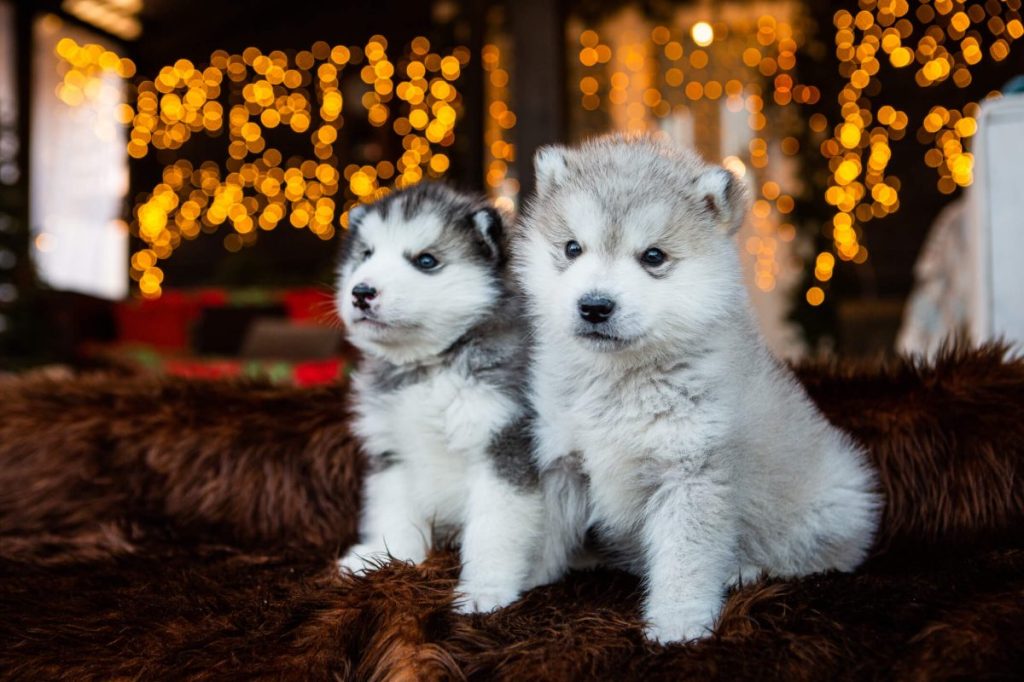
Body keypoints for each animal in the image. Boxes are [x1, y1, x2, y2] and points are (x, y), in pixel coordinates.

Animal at [335, 182, 544, 610]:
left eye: (426, 260)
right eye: (366, 254)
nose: (362, 291)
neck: (430, 366)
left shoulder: (504, 443)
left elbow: (494, 526)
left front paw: (485, 588)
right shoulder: (393, 450)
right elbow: (395, 512)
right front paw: (390, 562)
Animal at [512, 137, 880, 643]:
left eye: (653, 257)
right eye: (572, 248)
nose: (595, 306)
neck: (620, 379)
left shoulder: (692, 474)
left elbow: (685, 563)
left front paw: (678, 626)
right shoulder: (561, 461)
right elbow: (536, 530)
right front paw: (506, 587)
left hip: (831, 507)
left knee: (807, 559)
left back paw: (746, 570)